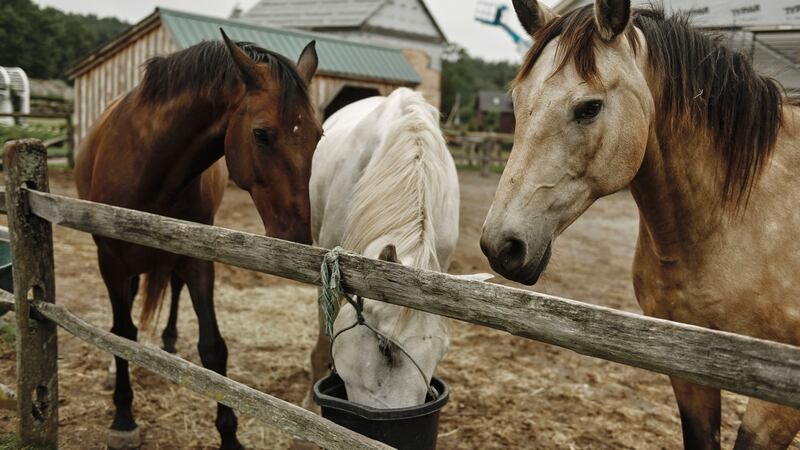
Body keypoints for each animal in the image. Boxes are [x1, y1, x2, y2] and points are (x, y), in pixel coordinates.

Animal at [75, 31, 321, 450]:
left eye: (319, 135)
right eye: (261, 133)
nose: (298, 238)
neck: (149, 165)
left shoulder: (197, 257)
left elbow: (213, 347)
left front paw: (230, 436)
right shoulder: (110, 259)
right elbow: (122, 333)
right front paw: (123, 417)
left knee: (171, 290)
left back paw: (170, 341)